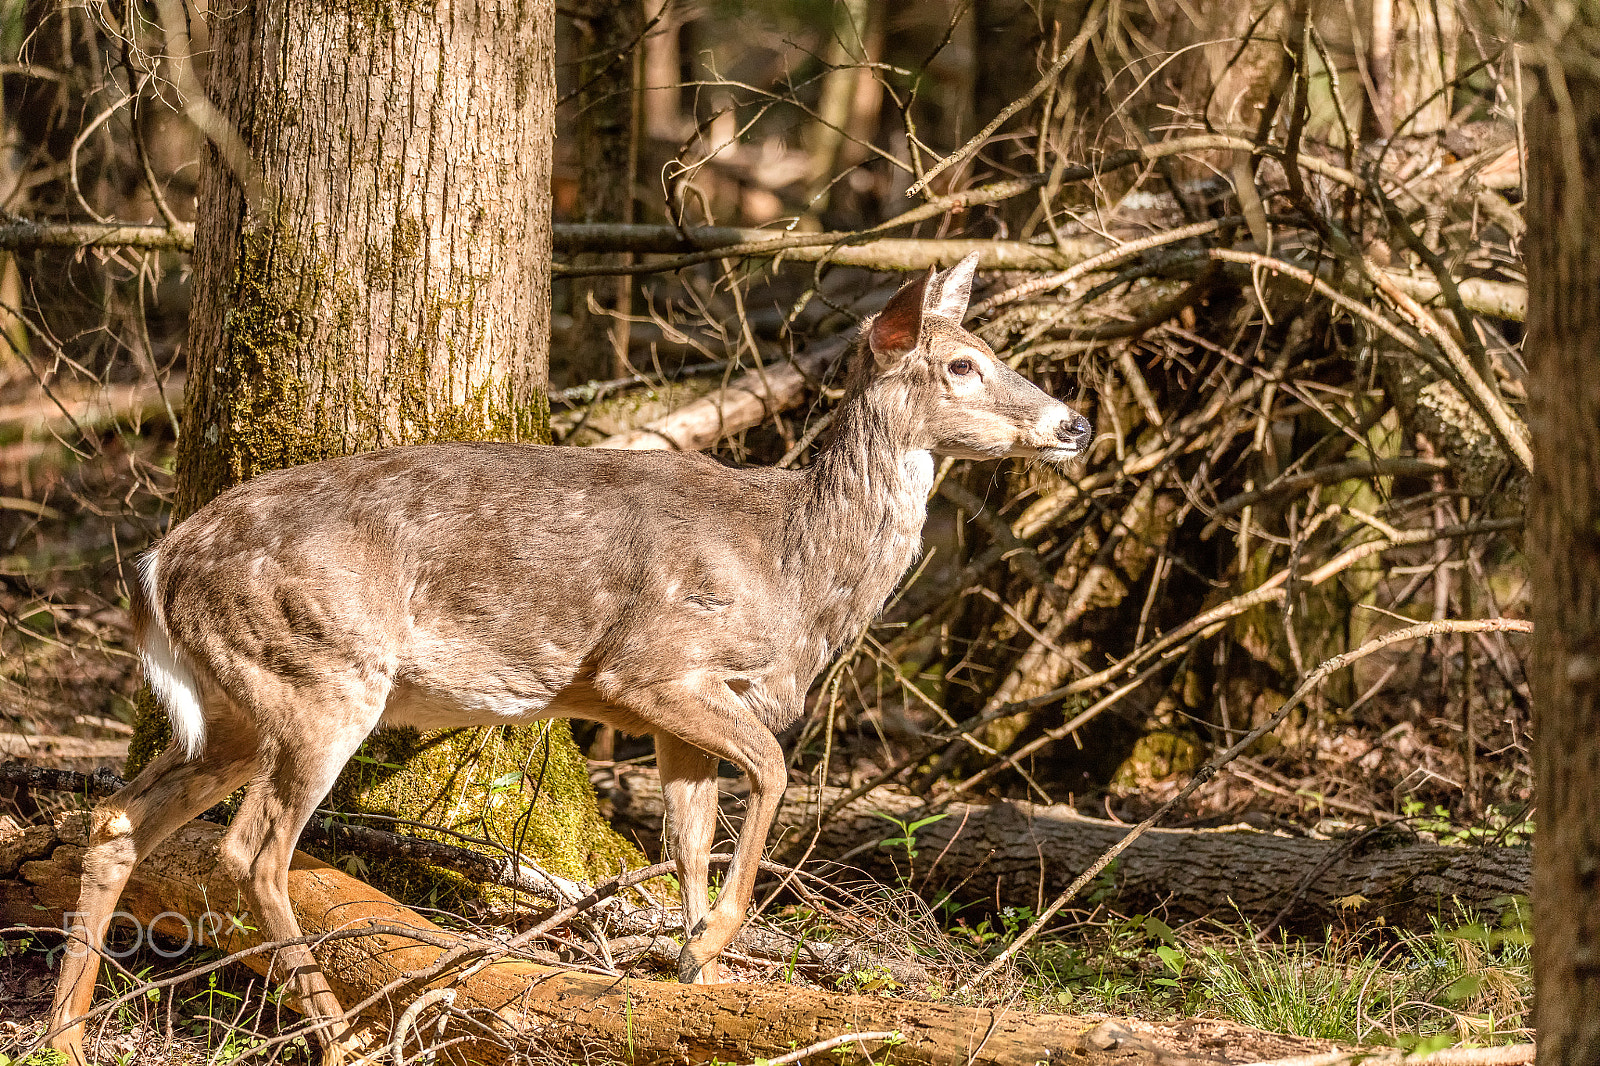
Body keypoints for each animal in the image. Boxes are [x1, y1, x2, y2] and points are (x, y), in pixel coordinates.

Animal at [47, 252, 1092, 1064]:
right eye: (963, 364)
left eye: (995, 352)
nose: (1074, 422)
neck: (794, 569)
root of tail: (157, 566)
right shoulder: (653, 665)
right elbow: (772, 768)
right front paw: (713, 941)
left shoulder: (667, 714)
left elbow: (688, 838)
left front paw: (695, 971)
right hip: (320, 674)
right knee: (253, 850)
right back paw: (340, 1037)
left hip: (236, 704)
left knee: (118, 819)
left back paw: (65, 1031)